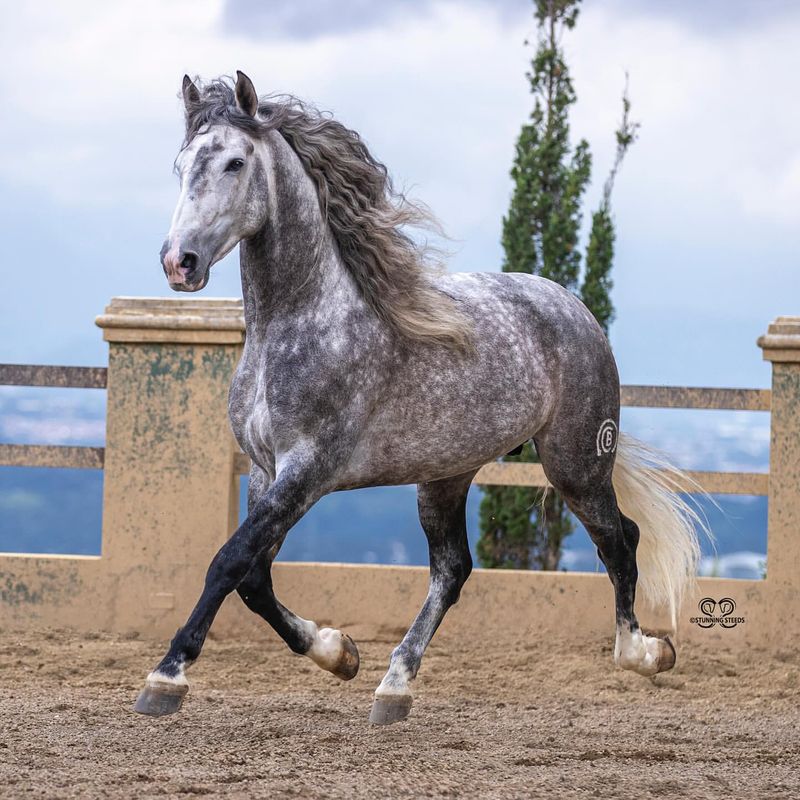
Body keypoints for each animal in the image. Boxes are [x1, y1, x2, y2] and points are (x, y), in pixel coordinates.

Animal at [136, 73, 700, 724]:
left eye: (234, 162)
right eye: (182, 165)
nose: (178, 263)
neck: (303, 323)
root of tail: (573, 307)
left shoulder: (308, 471)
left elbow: (229, 561)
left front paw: (166, 677)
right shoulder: (265, 469)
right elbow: (254, 578)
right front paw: (339, 652)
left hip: (577, 464)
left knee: (619, 540)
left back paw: (645, 653)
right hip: (446, 474)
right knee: (453, 570)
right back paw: (393, 685)